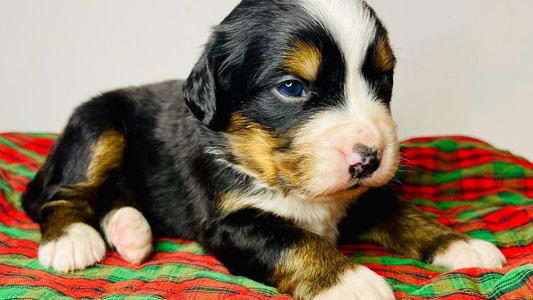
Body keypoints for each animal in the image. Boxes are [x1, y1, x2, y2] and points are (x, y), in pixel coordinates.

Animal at [22, 0, 504, 300]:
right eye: (291, 88)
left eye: (382, 79)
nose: (370, 158)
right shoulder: (231, 222)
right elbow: (294, 240)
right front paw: (353, 281)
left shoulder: (364, 198)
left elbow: (406, 214)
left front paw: (461, 245)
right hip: (97, 125)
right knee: (62, 194)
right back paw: (71, 241)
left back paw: (130, 232)